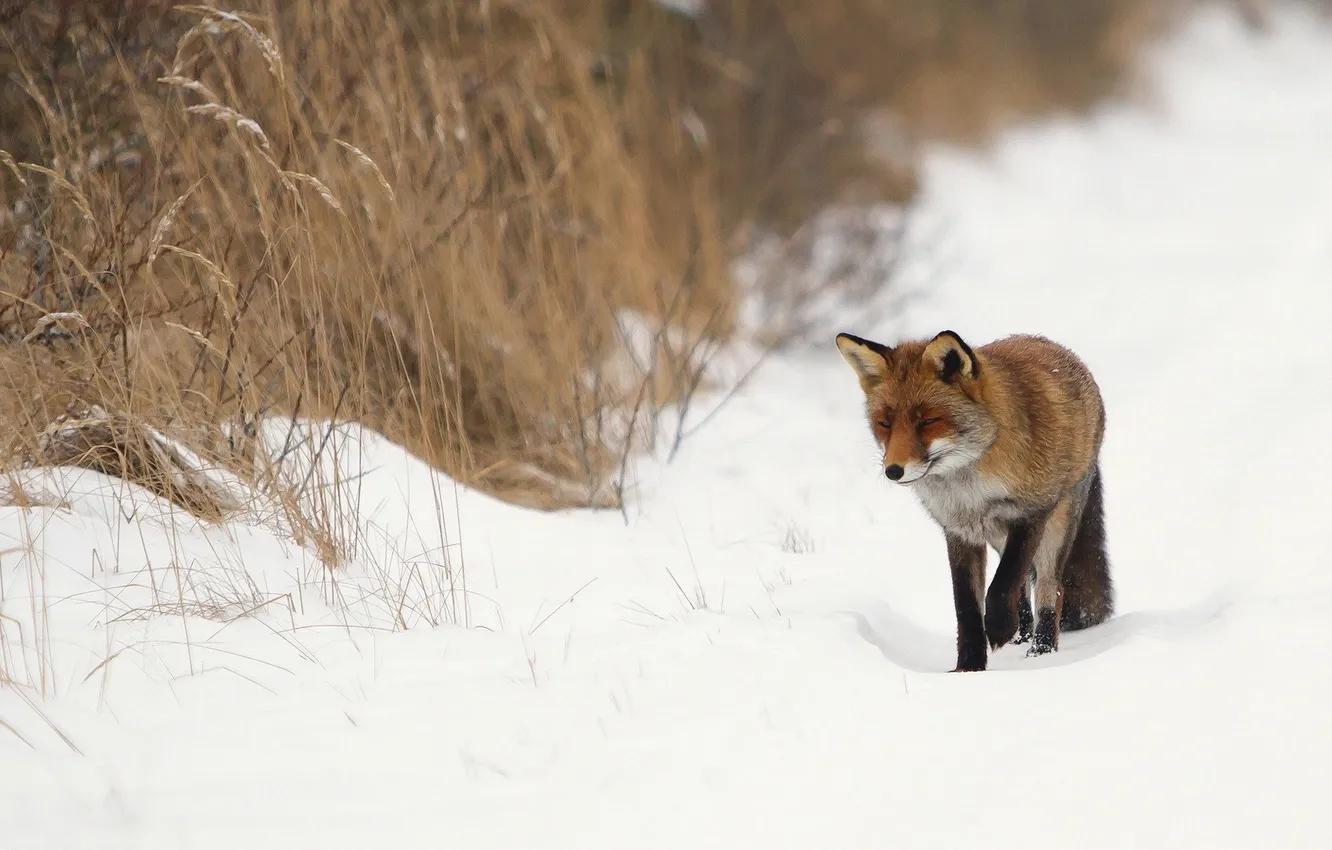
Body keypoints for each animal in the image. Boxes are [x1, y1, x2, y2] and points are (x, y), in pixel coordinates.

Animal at [831, 330, 1113, 676]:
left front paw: (1000, 628)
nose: (893, 471)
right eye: (885, 423)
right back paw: (1020, 637)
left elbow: (1003, 583)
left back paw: (1041, 650)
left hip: (1056, 527)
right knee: (1023, 591)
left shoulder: (1031, 514)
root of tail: (1051, 344)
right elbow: (966, 607)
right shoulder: (958, 531)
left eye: (929, 421)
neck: (970, 490)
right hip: (997, 535)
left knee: (1050, 590)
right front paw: (969, 668)